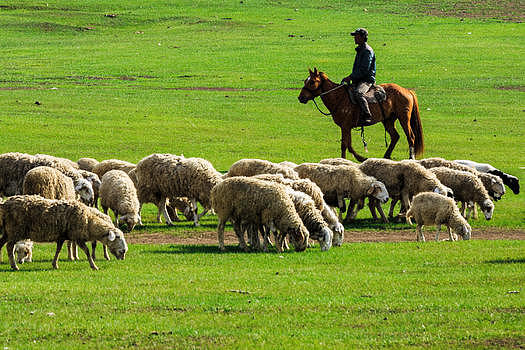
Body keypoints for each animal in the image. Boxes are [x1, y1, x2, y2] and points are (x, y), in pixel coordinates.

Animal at [296, 68, 424, 161]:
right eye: (305, 81)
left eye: (312, 82)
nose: (300, 97)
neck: (339, 97)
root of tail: (407, 91)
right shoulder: (346, 127)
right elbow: (348, 145)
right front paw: (359, 158)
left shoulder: (345, 126)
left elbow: (345, 145)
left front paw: (350, 159)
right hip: (388, 120)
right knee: (395, 136)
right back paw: (386, 156)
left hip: (404, 118)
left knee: (410, 136)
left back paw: (411, 157)